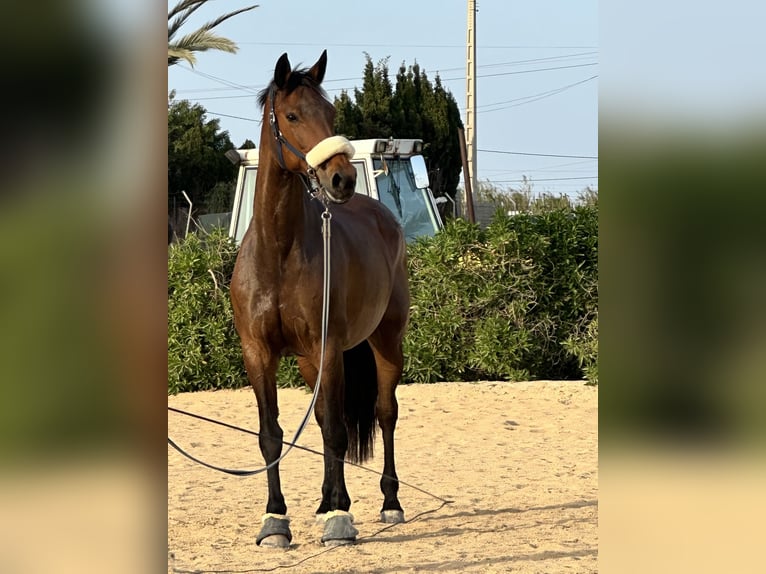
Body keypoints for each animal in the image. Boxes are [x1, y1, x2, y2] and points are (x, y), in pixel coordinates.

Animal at [230, 50, 409, 548]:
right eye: (292, 116)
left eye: (330, 114)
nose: (342, 178)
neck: (278, 251)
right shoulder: (259, 353)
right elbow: (270, 435)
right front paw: (276, 519)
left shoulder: (328, 348)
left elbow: (335, 430)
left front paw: (341, 517)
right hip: (312, 362)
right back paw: (324, 501)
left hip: (385, 342)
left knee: (384, 413)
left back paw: (388, 502)